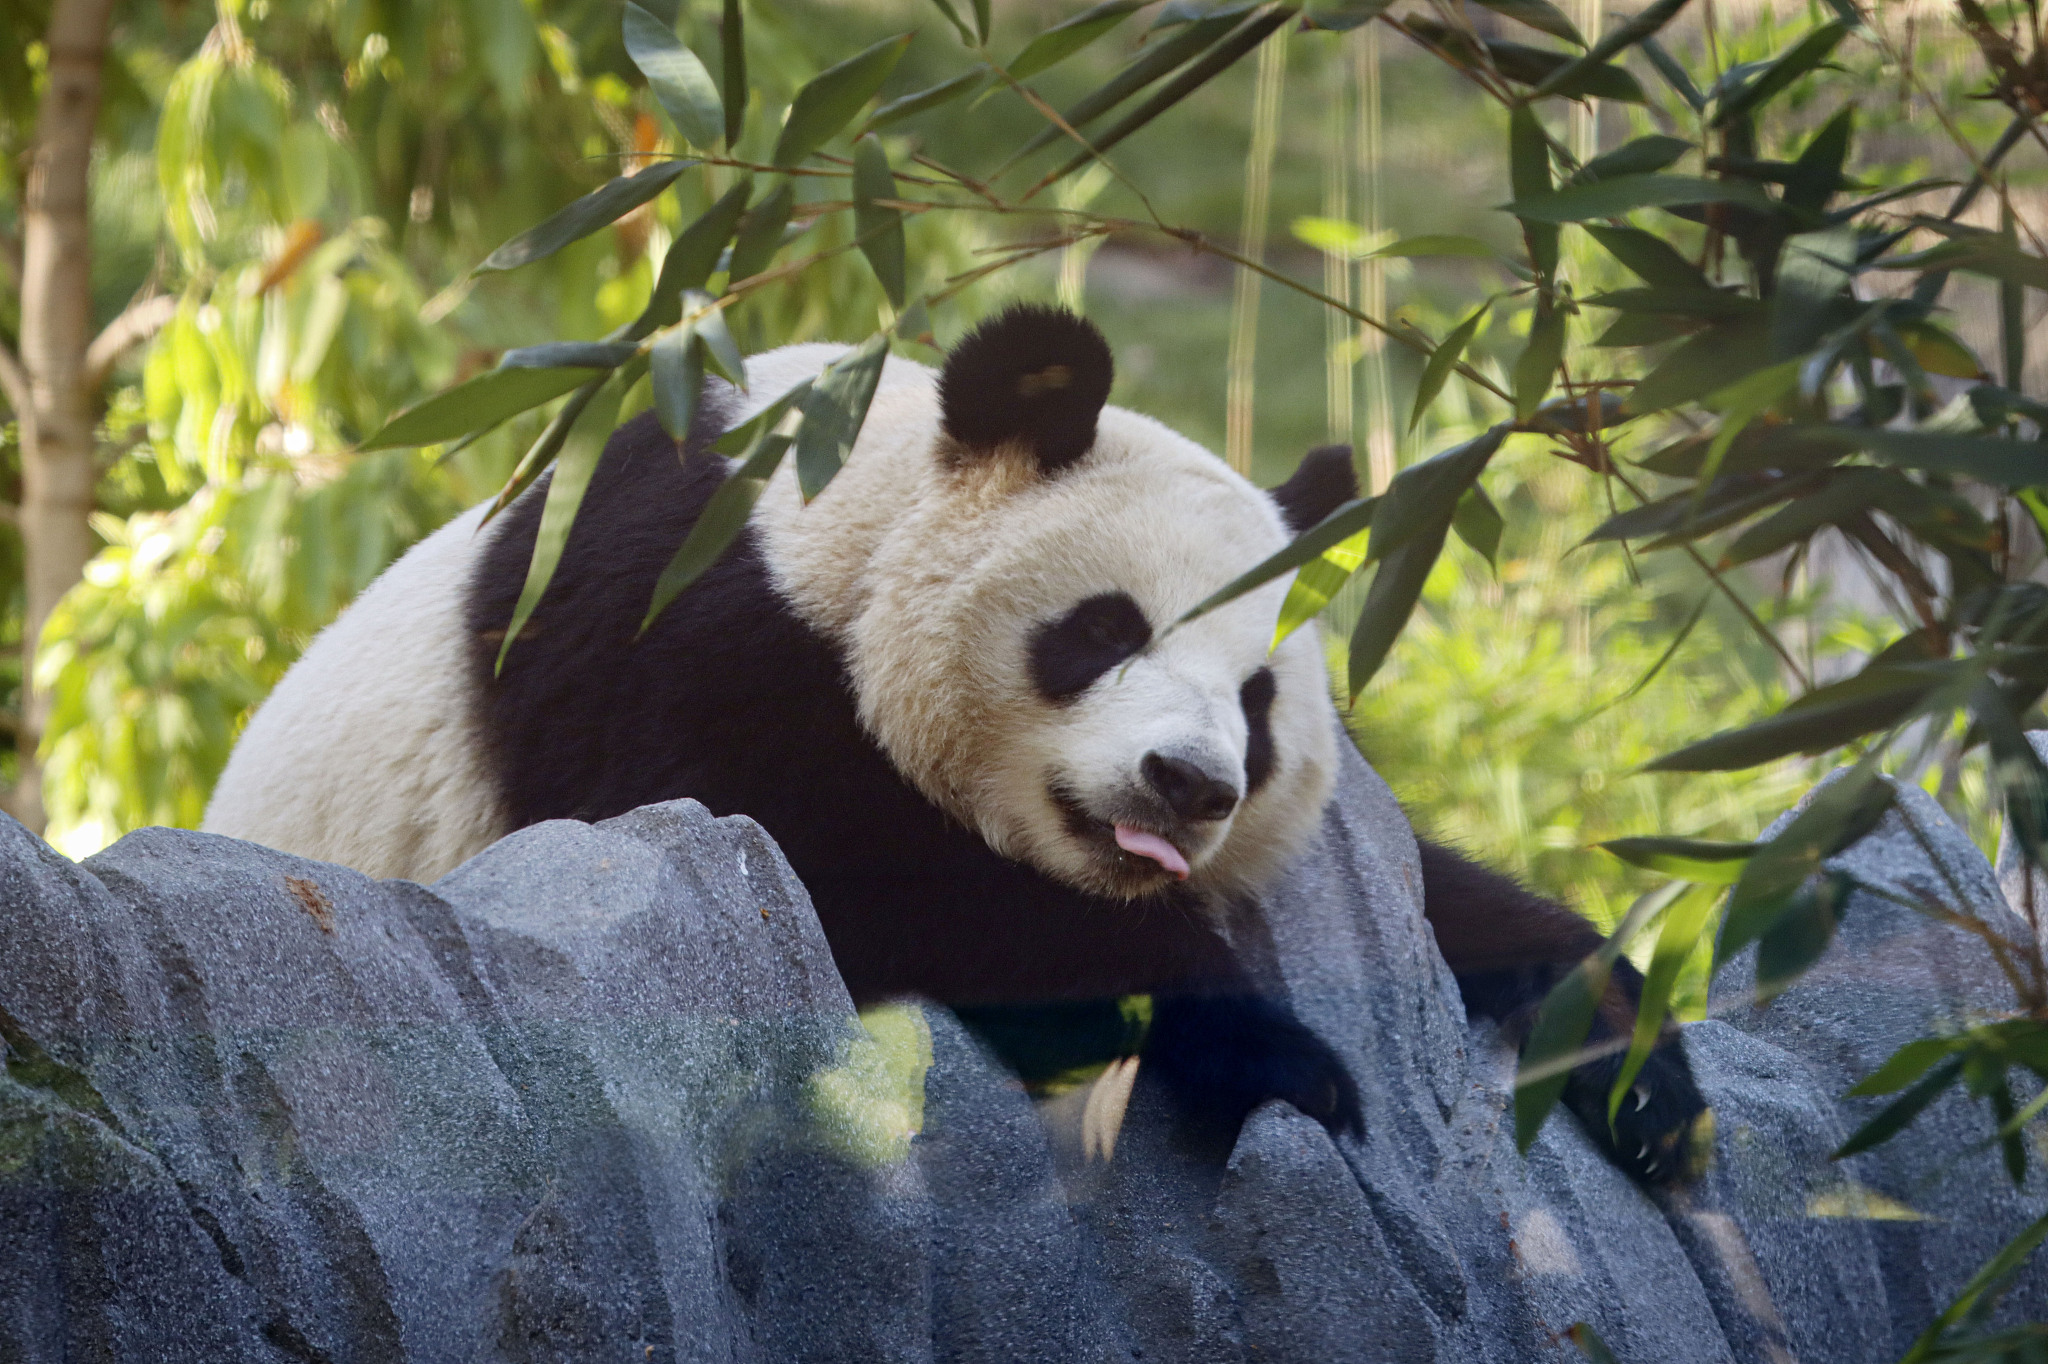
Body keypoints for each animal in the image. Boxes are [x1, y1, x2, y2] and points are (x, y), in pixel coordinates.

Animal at [207, 303, 1712, 1171]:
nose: (1187, 785)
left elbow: (1457, 908)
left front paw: (1636, 1070)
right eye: (1103, 630)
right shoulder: (669, 628)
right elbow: (852, 876)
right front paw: (1281, 1057)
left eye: (1258, 703)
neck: (838, 502)